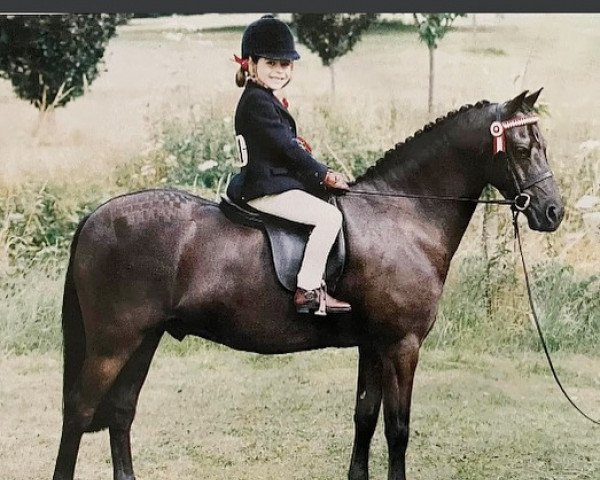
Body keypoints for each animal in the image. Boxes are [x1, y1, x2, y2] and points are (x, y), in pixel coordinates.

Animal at [52, 91, 564, 480]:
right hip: (112, 343)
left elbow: (365, 418)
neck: (403, 215)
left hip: (145, 339)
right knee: (79, 411)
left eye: (542, 143)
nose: (553, 212)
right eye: (522, 147)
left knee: (121, 412)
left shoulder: (373, 345)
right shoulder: (401, 345)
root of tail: (94, 217)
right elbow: (397, 428)